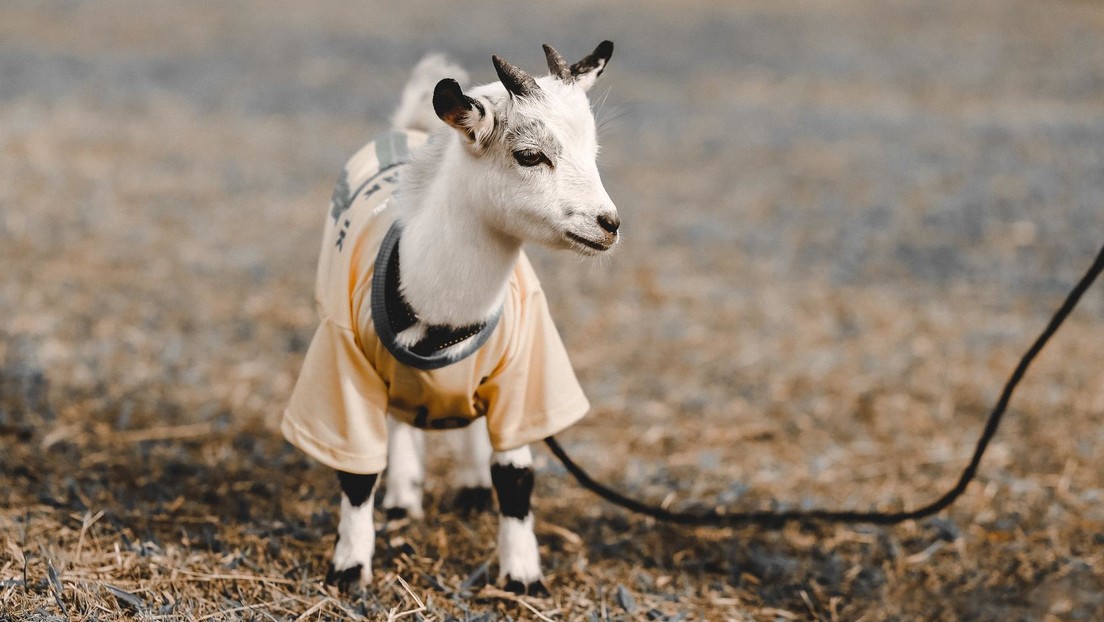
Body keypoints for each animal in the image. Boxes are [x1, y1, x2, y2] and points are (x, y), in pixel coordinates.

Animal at [280, 41, 618, 596]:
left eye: (593, 152)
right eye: (530, 154)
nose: (608, 225)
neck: (441, 311)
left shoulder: (526, 371)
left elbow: (516, 476)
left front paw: (523, 577)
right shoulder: (343, 363)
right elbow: (357, 474)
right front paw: (349, 570)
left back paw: (472, 487)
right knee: (400, 419)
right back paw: (402, 497)